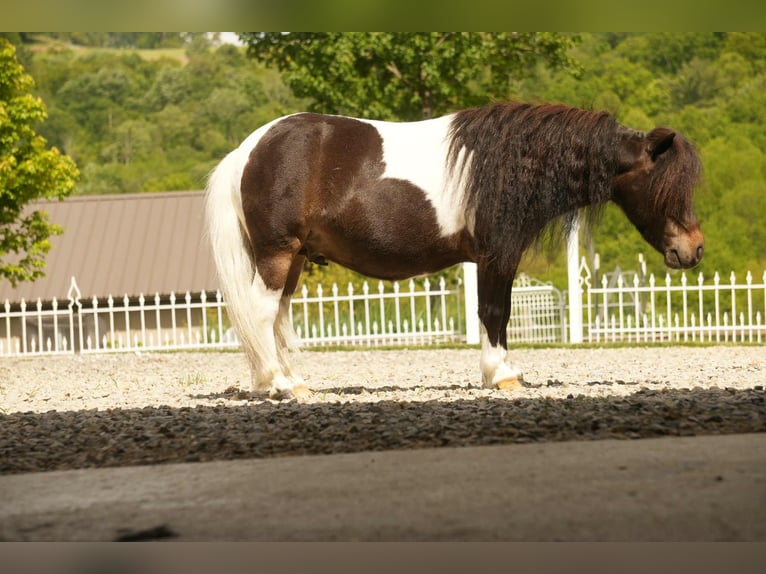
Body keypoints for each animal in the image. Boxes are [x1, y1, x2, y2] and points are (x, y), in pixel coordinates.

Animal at [205, 101, 704, 400]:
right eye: (663, 186)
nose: (694, 249)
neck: (514, 163)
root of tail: (247, 150)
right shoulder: (496, 255)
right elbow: (494, 313)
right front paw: (502, 376)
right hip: (278, 253)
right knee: (263, 314)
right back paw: (282, 385)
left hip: (293, 259)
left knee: (275, 317)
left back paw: (288, 382)